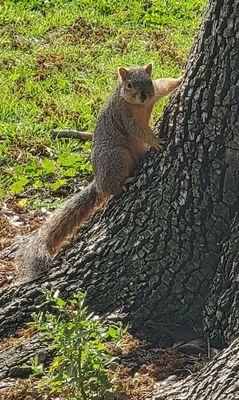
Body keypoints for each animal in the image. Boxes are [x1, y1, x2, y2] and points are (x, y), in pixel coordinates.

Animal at [14, 65, 183, 278]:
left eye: (148, 81)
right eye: (129, 84)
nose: (143, 96)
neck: (139, 106)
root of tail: (98, 180)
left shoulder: (154, 95)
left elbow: (164, 85)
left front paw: (181, 77)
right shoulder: (125, 116)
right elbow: (139, 131)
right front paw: (155, 141)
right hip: (116, 157)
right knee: (109, 190)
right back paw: (121, 184)